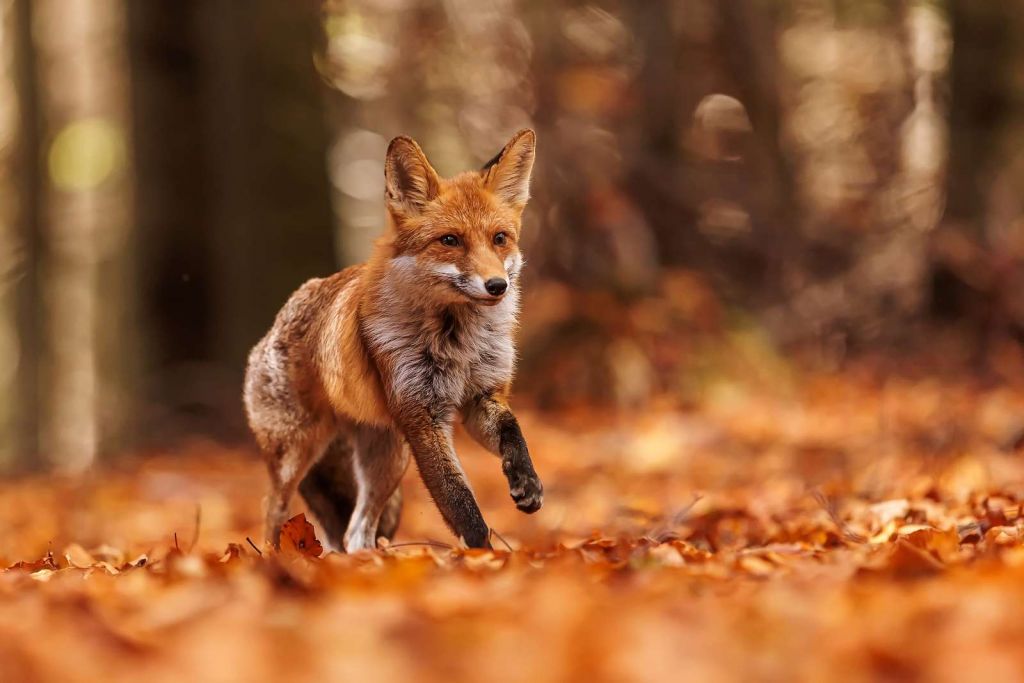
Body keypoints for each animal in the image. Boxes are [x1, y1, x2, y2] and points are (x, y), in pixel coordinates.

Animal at [242, 129, 544, 557]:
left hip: (388, 460)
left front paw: (526, 481)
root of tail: (277, 320)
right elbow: (460, 504)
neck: (460, 344)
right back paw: (271, 560)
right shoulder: (422, 415)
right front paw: (483, 561)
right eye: (450, 240)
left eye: (500, 239)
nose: (497, 286)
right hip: (295, 457)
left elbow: (512, 431)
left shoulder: (480, 397)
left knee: (356, 531)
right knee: (273, 511)